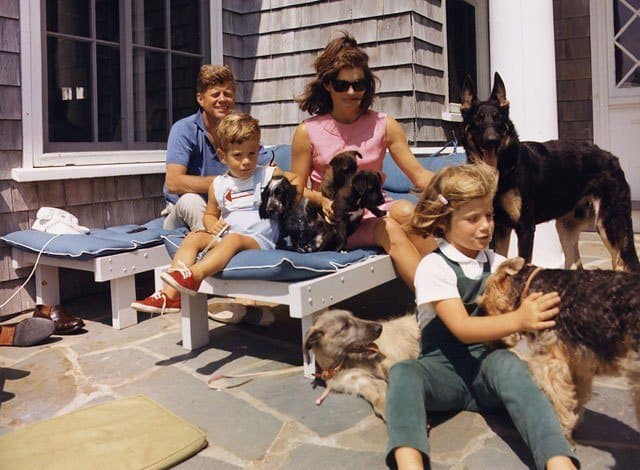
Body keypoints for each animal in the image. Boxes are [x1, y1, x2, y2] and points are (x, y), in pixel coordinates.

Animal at [460, 72, 640, 274]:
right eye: (478, 119)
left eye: (498, 118)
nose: (492, 140)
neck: (505, 169)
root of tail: (613, 158)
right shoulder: (500, 229)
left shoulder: (525, 228)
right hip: (566, 228)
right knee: (576, 265)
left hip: (609, 225)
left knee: (622, 264)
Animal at [480, 258, 640, 436]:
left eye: (483, 307)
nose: (488, 345)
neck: (530, 287)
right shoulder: (578, 364)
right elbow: (575, 399)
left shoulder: (551, 362)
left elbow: (559, 403)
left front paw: (564, 431)